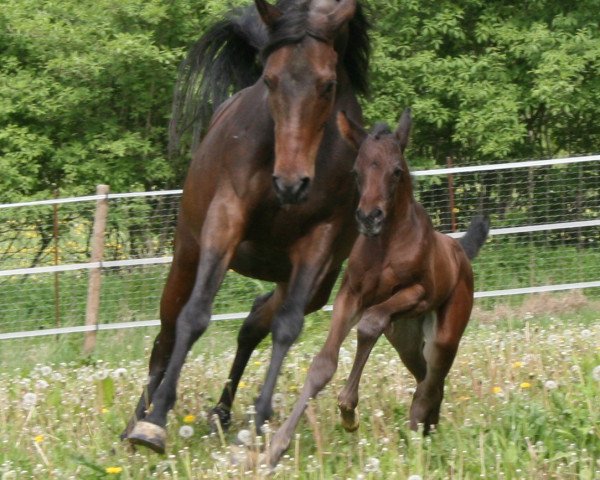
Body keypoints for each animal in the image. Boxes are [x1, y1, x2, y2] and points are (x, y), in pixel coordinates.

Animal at [268, 108, 488, 464]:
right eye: (356, 172)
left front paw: (347, 408)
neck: (385, 244)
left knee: (431, 383)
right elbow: (323, 364)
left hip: (444, 334)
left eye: (396, 171)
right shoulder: (350, 295)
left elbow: (370, 324)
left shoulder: (417, 293)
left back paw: (417, 436)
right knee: (426, 378)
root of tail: (459, 251)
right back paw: (428, 428)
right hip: (407, 341)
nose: (369, 217)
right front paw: (276, 447)